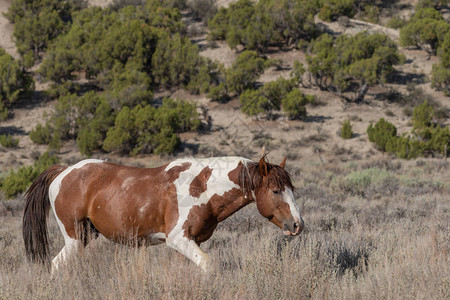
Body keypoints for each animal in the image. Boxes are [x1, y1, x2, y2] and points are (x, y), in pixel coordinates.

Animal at [22, 156, 304, 270]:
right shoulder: (179, 240)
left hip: (85, 237)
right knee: (57, 264)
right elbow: (209, 266)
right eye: (276, 190)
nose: (297, 225)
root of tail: (63, 171)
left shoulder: (191, 243)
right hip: (74, 237)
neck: (200, 187)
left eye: (292, 188)